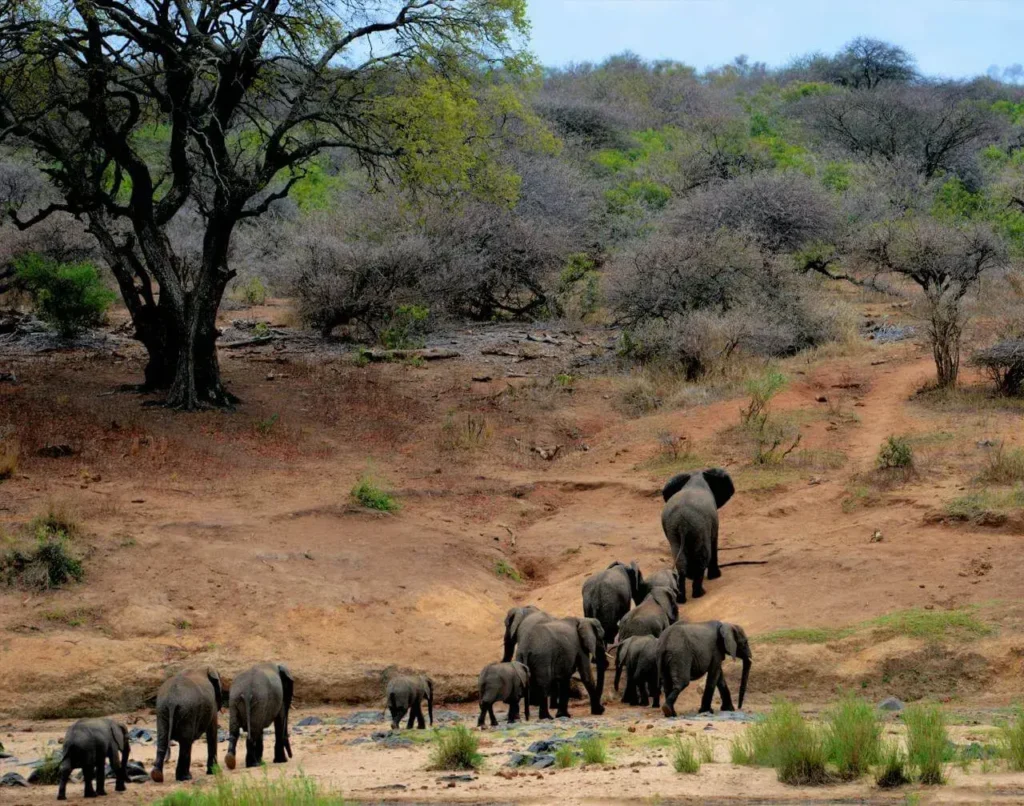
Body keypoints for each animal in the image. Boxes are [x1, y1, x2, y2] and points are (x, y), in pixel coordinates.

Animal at [661, 468, 735, 603]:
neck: (696, 476)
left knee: (680, 560)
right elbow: (714, 541)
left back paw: (681, 599)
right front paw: (716, 576)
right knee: (703, 556)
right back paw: (699, 594)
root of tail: (682, 523)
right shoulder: (712, 521)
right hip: (699, 526)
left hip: (673, 530)